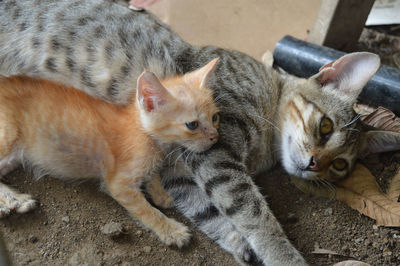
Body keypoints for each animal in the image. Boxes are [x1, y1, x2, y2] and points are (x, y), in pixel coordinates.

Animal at [0, 58, 220, 247]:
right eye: (192, 125)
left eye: (215, 118)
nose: (215, 137)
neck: (146, 135)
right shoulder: (119, 183)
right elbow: (147, 210)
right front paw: (171, 230)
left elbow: (152, 175)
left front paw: (160, 193)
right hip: (8, 140)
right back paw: (15, 201)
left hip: (14, 156)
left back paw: (14, 201)